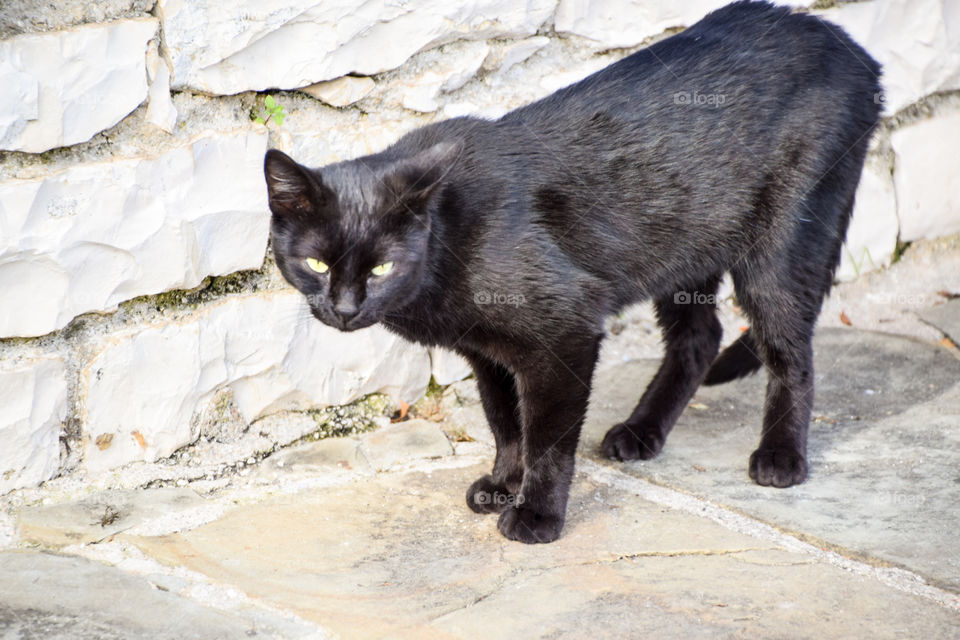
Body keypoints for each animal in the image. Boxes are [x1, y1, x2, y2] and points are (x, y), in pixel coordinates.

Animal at [262, 1, 876, 544]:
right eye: (315, 263)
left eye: (383, 266)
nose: (344, 308)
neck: (450, 243)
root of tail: (851, 47)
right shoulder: (488, 353)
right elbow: (506, 423)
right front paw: (503, 484)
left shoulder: (564, 335)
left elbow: (548, 440)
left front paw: (536, 515)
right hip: (682, 247)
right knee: (701, 338)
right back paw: (641, 432)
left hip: (780, 248)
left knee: (791, 351)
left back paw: (781, 456)